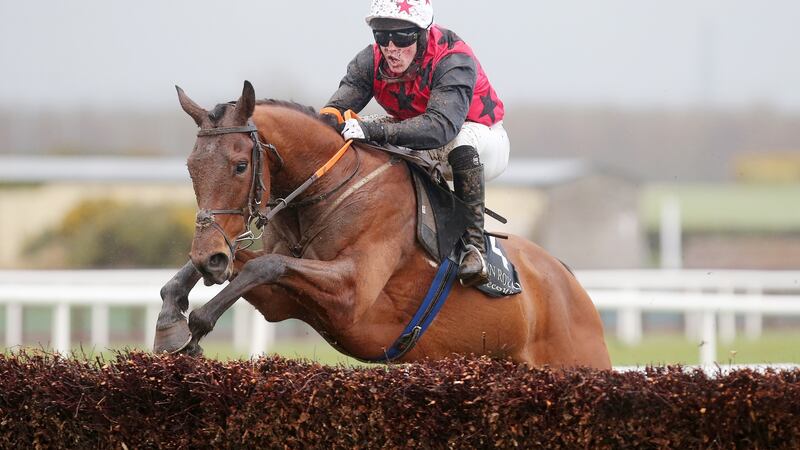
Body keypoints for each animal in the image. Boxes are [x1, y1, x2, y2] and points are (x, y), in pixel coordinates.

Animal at [153, 81, 608, 370]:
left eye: (239, 165)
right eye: (191, 168)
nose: (210, 256)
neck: (331, 189)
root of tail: (573, 286)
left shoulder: (351, 296)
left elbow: (264, 265)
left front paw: (197, 323)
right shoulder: (283, 301)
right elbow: (241, 266)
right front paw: (170, 322)